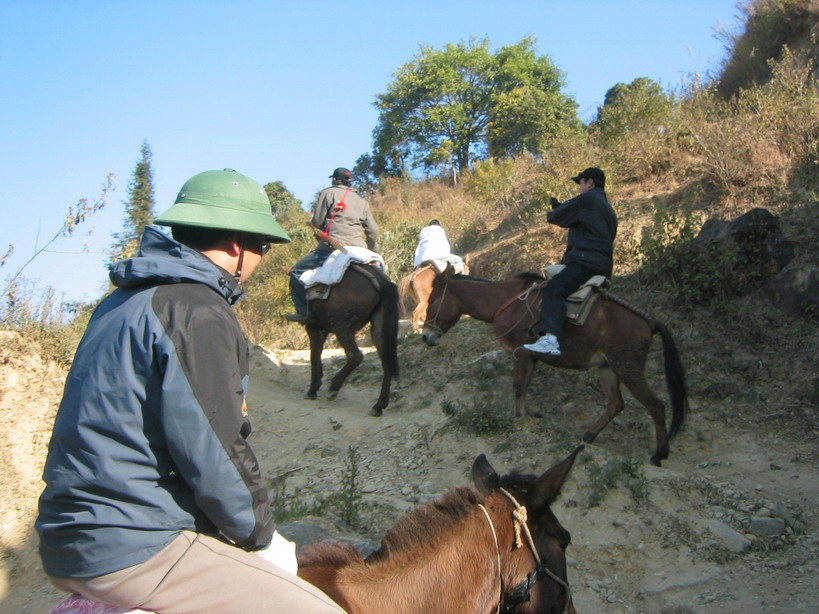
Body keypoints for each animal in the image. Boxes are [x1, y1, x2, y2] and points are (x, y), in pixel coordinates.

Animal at [306, 264, 398, 418]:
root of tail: (379, 280)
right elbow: (316, 354)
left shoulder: (313, 327)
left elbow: (314, 355)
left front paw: (313, 389)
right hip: (378, 327)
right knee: (386, 362)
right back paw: (379, 405)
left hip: (342, 327)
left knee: (356, 356)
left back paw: (334, 387)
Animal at [422, 270, 684, 466]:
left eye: (432, 301)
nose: (425, 336)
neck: (504, 301)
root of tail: (648, 321)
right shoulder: (530, 357)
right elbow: (524, 386)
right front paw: (529, 415)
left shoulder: (520, 353)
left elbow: (518, 386)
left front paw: (519, 421)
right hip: (608, 368)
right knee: (615, 403)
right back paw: (589, 435)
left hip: (627, 368)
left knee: (656, 406)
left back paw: (659, 454)